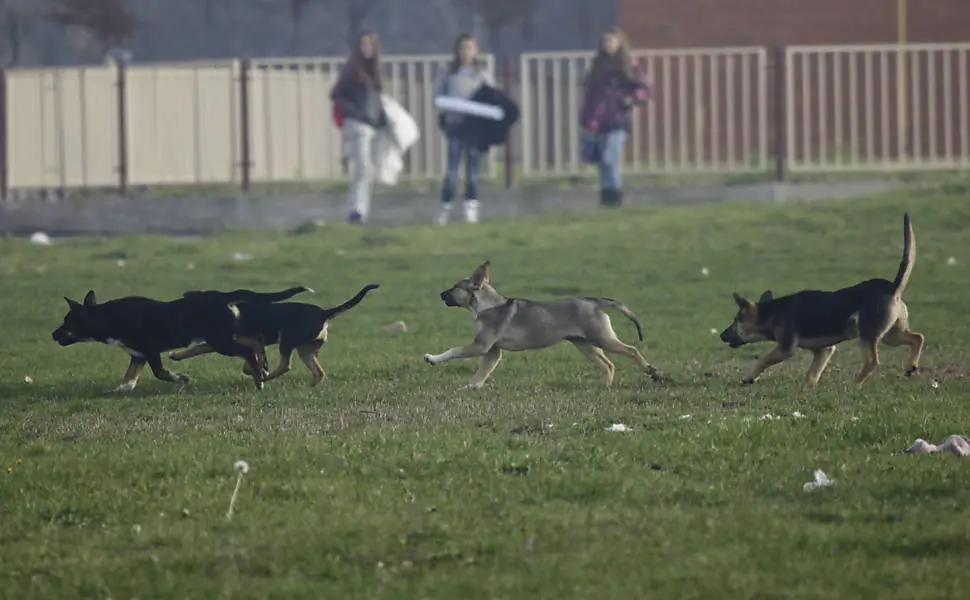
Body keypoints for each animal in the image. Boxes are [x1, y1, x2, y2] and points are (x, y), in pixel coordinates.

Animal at [52, 288, 310, 392]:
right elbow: (129, 377)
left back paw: (258, 378)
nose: (53, 334)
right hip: (227, 335)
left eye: (68, 322)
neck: (109, 317)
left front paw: (181, 378)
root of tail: (223, 297)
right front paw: (120, 389)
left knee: (248, 350)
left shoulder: (149, 349)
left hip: (222, 341)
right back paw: (262, 368)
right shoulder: (138, 355)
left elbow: (160, 372)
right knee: (255, 342)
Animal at [166, 284, 378, 384]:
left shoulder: (245, 340)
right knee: (318, 372)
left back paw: (265, 378)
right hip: (306, 350)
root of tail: (325, 313)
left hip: (287, 339)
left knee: (286, 365)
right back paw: (310, 386)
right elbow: (200, 348)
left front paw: (259, 370)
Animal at [420, 262, 660, 390]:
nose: (440, 294)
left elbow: (453, 351)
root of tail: (595, 301)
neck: (486, 305)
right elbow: (482, 373)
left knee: (631, 350)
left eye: (455, 287)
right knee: (608, 364)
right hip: (585, 344)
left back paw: (652, 372)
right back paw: (606, 386)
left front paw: (432, 358)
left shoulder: (481, 346)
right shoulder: (493, 352)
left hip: (602, 338)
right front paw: (470, 387)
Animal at [720, 213, 924, 386]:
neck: (770, 312)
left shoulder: (785, 349)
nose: (721, 335)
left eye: (736, 321)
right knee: (918, 338)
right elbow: (812, 375)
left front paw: (749, 377)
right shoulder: (824, 350)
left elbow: (763, 360)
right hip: (891, 335)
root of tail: (892, 288)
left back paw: (855, 384)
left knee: (873, 361)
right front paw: (807, 391)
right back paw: (911, 366)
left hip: (868, 333)